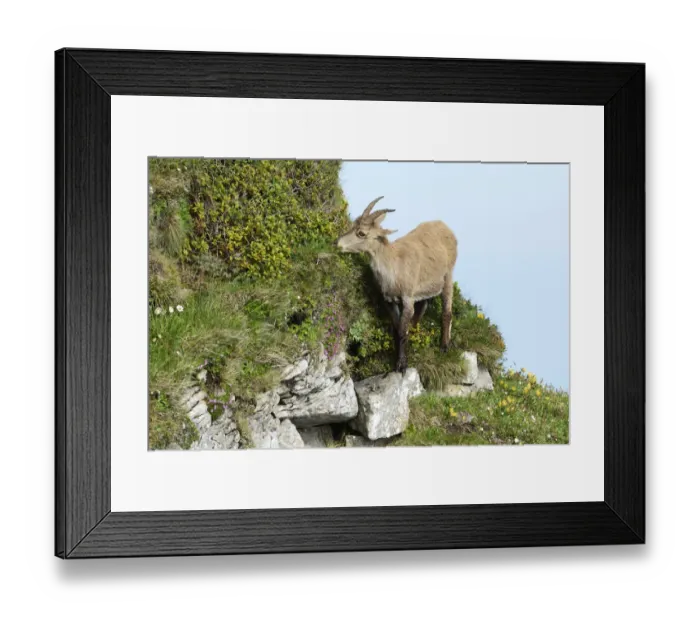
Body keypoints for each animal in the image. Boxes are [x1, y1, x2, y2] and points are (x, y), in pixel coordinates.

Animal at [337, 196, 458, 373]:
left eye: (361, 233)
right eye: (354, 225)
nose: (337, 243)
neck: (394, 265)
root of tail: (446, 227)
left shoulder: (407, 298)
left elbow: (401, 330)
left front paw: (401, 365)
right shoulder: (389, 300)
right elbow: (396, 328)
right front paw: (396, 362)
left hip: (448, 275)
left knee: (447, 312)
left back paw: (444, 346)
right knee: (423, 307)